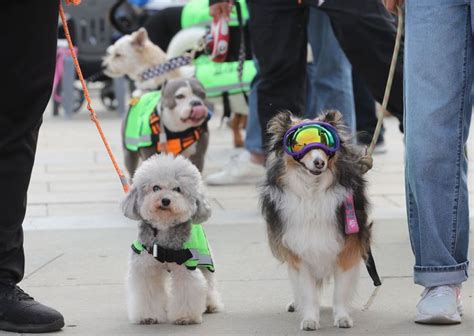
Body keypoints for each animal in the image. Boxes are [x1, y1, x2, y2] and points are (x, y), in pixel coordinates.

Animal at [119, 155, 221, 326]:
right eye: (156, 188)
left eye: (177, 189)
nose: (165, 200)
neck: (164, 227)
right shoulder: (146, 268)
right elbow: (148, 291)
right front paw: (148, 316)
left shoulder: (187, 266)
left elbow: (187, 289)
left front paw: (185, 317)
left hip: (205, 259)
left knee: (209, 281)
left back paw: (211, 304)